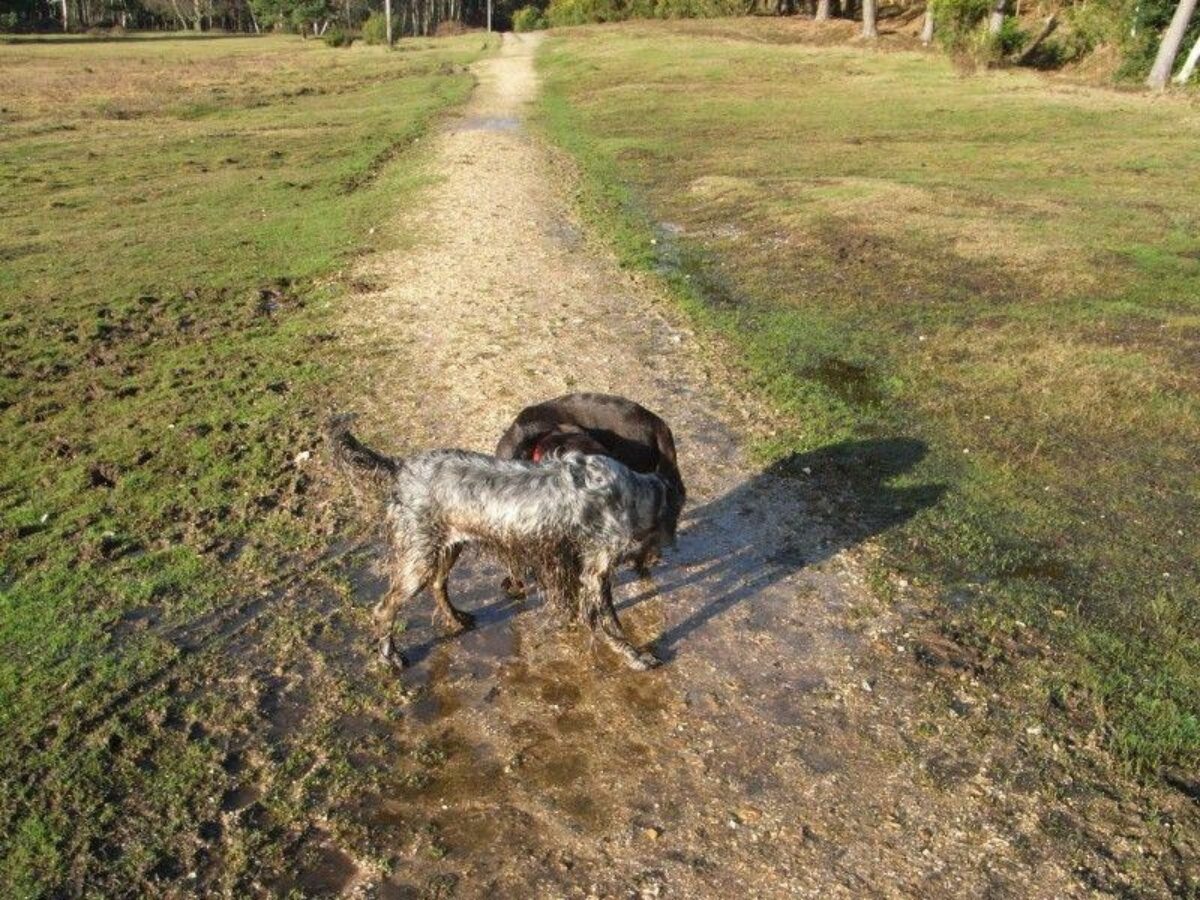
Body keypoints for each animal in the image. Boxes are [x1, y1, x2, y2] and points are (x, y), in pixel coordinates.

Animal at [331, 420, 686, 672]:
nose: (663, 554)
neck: (633, 493)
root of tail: (400, 468)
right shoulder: (596, 572)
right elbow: (613, 624)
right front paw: (636, 656)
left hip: (448, 547)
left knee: (438, 585)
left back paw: (457, 619)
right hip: (417, 560)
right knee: (384, 609)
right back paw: (389, 657)